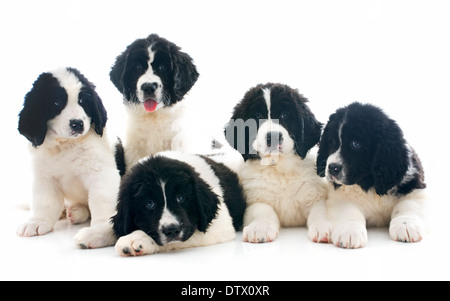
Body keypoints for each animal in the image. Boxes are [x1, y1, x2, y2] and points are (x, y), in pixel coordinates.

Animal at [17, 67, 120, 248]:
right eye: (57, 103)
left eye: (83, 101)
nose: (77, 124)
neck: (66, 145)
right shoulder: (44, 177)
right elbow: (44, 202)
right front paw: (37, 221)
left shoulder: (101, 173)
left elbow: (101, 201)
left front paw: (100, 230)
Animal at [227, 83, 328, 243]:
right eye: (258, 116)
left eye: (285, 115)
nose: (273, 136)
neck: (280, 169)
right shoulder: (256, 200)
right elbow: (262, 211)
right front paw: (260, 227)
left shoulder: (315, 195)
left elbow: (319, 211)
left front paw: (322, 227)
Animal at [316, 102, 428, 247]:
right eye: (332, 142)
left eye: (356, 144)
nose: (332, 168)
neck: (370, 182)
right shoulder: (339, 196)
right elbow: (348, 211)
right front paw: (349, 230)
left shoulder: (413, 185)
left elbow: (407, 205)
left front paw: (406, 225)